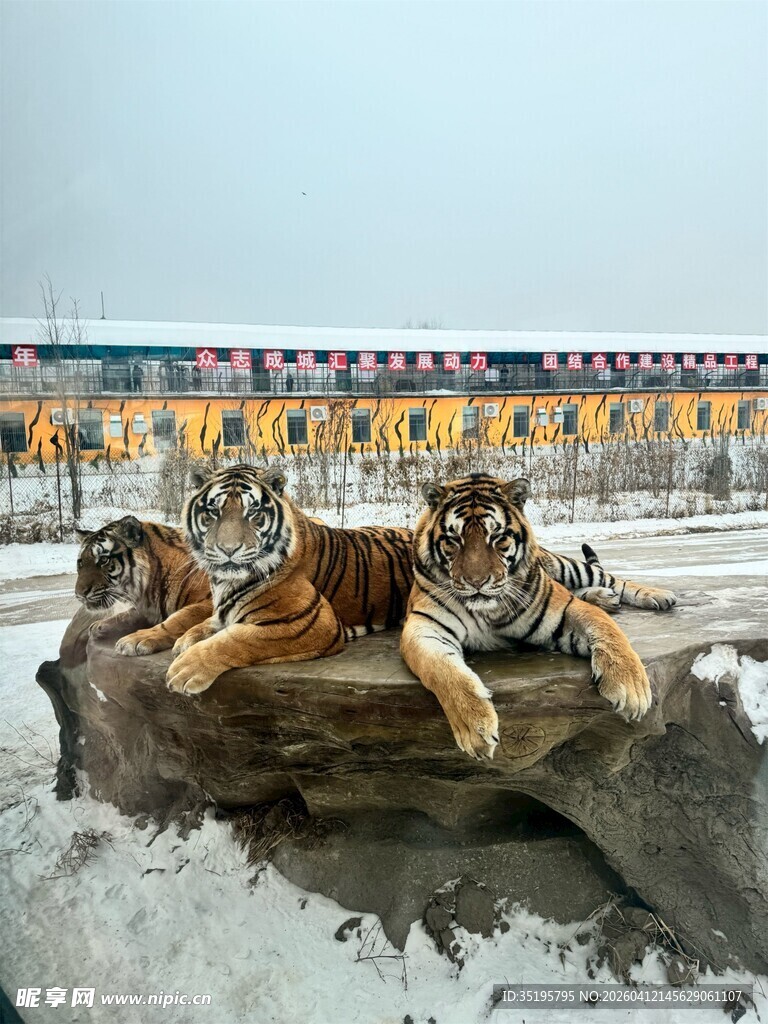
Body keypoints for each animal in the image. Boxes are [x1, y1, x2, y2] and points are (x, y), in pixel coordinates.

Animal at [74, 516, 212, 655]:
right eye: (80, 562)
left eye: (104, 560)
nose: (80, 594)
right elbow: (128, 615)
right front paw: (99, 625)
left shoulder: (208, 600)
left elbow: (179, 618)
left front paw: (137, 639)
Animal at [165, 464, 414, 694]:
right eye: (213, 512)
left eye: (253, 513)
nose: (228, 549)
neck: (223, 582)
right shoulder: (224, 611)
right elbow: (209, 623)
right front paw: (184, 641)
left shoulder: (313, 622)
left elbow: (236, 639)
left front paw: (184, 668)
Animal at [400, 473, 670, 761]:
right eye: (453, 540)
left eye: (497, 537)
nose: (477, 583)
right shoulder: (425, 627)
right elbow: (445, 672)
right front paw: (475, 729)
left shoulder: (562, 609)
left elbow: (608, 631)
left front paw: (632, 690)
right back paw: (605, 597)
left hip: (567, 567)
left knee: (610, 578)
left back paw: (657, 595)